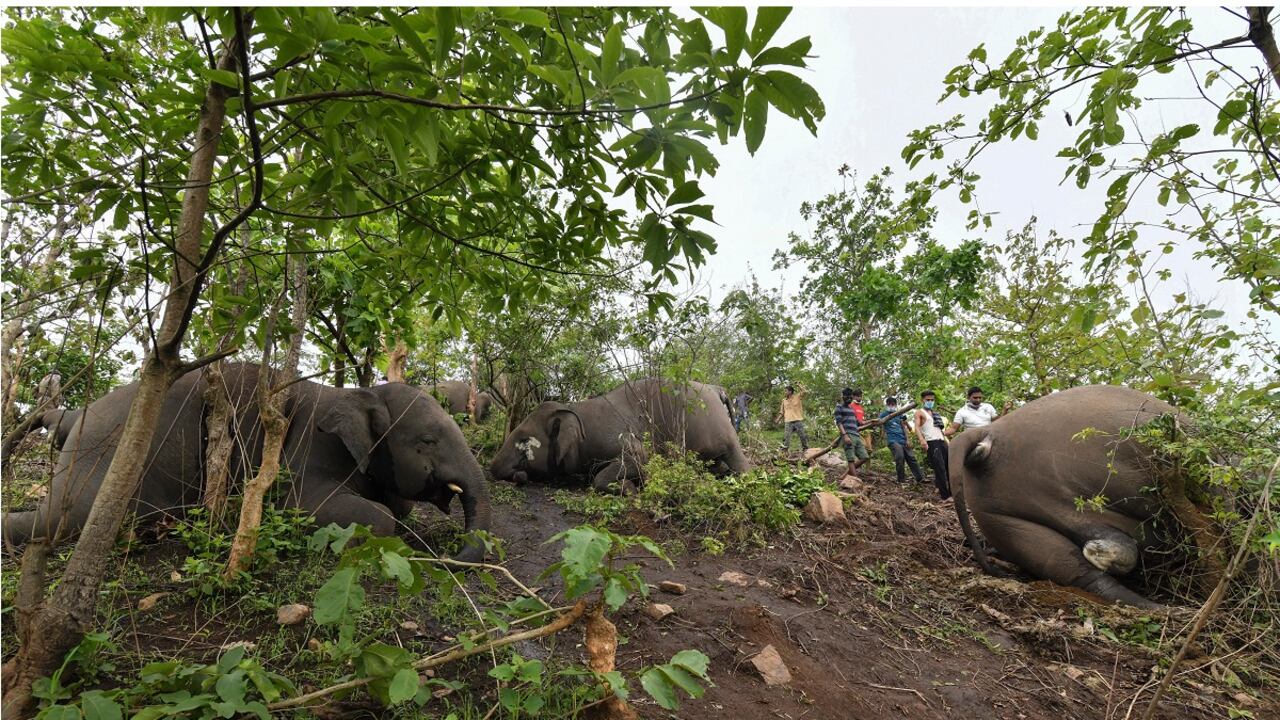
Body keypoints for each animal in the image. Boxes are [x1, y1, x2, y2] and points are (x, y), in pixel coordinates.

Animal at [3, 363, 491, 562]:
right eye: (427, 440)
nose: (451, 556)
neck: (359, 391)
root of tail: (76, 416)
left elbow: (397, 507)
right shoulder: (307, 446)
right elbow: (330, 509)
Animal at [489, 378, 750, 492]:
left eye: (523, 440)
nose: (492, 468)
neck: (576, 410)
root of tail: (716, 388)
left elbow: (640, 458)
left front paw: (630, 489)